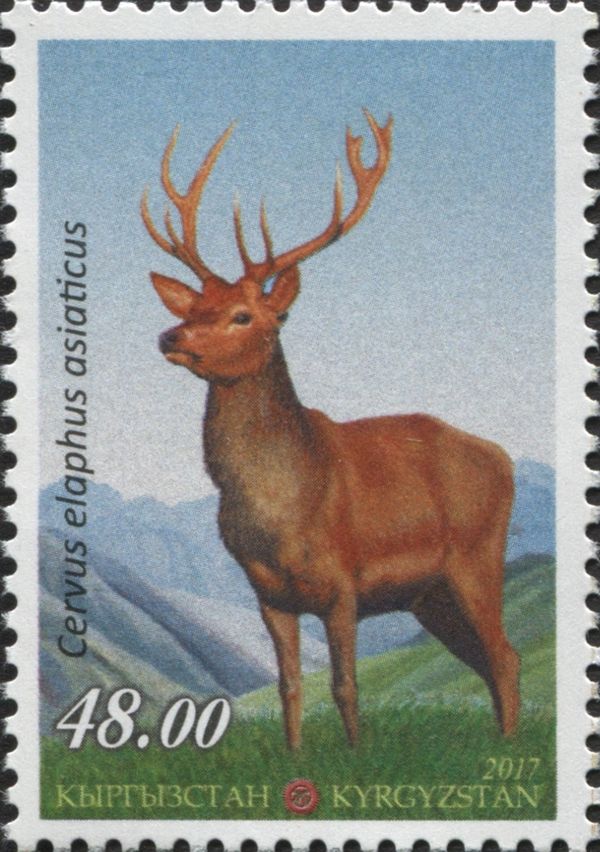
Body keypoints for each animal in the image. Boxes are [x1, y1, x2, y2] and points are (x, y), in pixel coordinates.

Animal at [141, 111, 520, 750]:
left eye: (243, 315)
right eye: (194, 308)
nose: (171, 337)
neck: (281, 512)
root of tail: (504, 458)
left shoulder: (345, 584)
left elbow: (346, 686)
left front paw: (357, 758)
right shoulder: (269, 593)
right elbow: (290, 687)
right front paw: (296, 760)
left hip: (478, 556)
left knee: (505, 655)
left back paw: (511, 751)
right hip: (430, 596)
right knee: (486, 659)